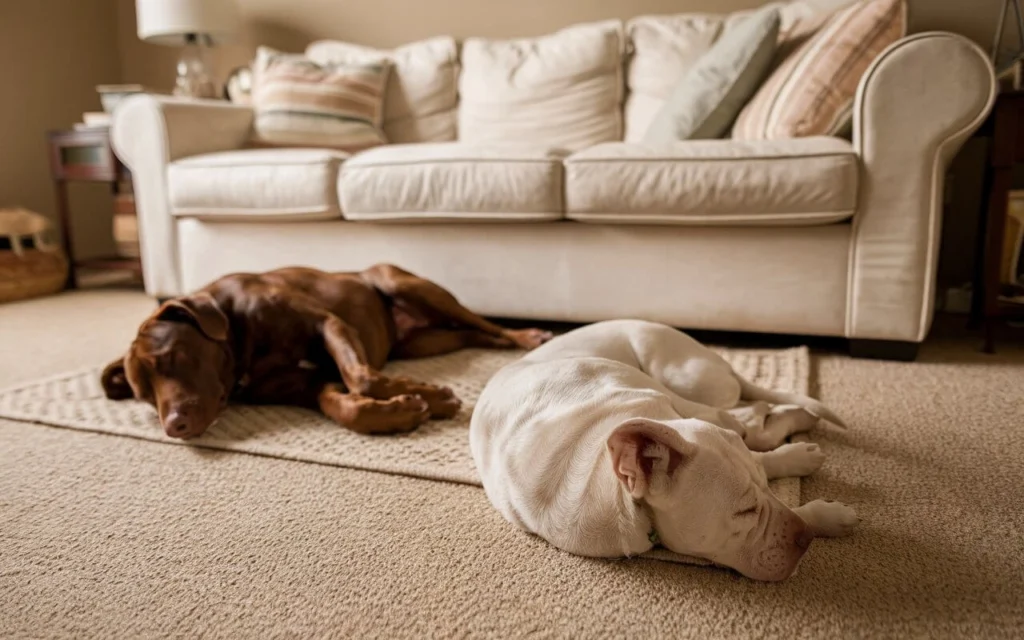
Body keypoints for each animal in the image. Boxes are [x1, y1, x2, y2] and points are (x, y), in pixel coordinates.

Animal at [101, 262, 552, 436]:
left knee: (486, 323)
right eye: (144, 396)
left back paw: (529, 337)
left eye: (173, 357)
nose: (172, 427)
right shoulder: (307, 383)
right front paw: (398, 412)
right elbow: (342, 405)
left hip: (408, 285)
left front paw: (433, 397)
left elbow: (363, 377)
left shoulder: (330, 325)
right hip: (426, 341)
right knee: (475, 335)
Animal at [468, 317, 860, 577]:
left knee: (747, 414)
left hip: (684, 379)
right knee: (750, 416)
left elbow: (759, 457)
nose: (806, 539)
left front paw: (817, 505)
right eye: (744, 512)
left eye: (763, 493)